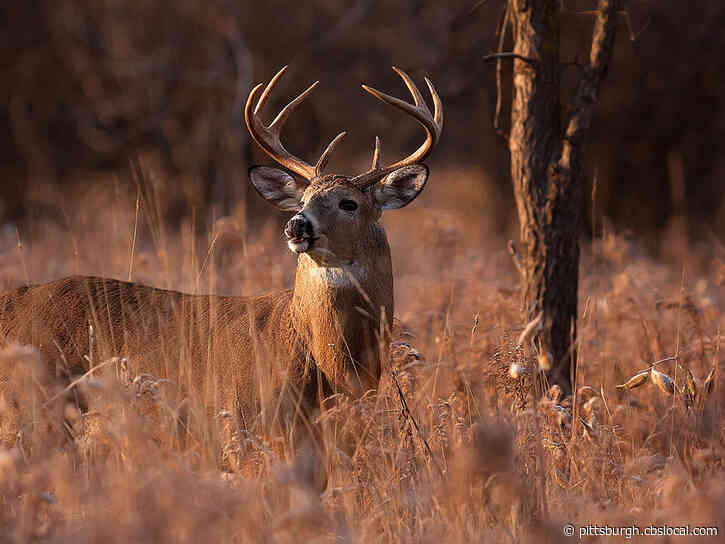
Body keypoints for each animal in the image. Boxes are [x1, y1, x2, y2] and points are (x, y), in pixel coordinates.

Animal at [0, 66, 443, 462]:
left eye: (348, 203)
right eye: (302, 200)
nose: (296, 225)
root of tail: (13, 302)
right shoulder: (243, 425)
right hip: (33, 411)